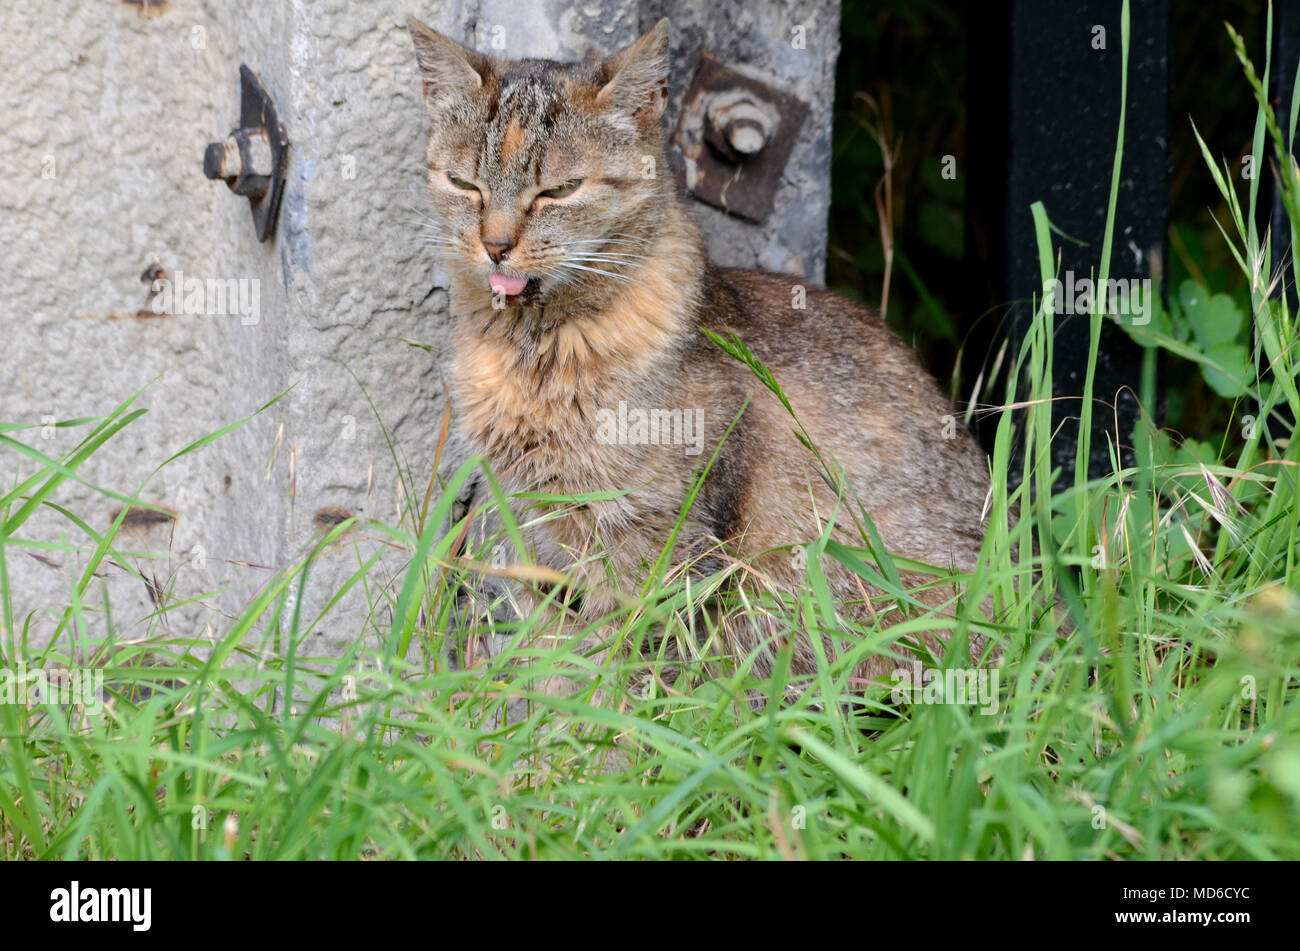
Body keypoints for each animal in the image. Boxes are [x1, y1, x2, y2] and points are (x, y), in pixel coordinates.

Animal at [405, 16, 993, 691]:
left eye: (560, 190)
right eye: (463, 184)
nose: (495, 246)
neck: (533, 348)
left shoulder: (659, 546)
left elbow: (623, 678)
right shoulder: (539, 535)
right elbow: (555, 665)